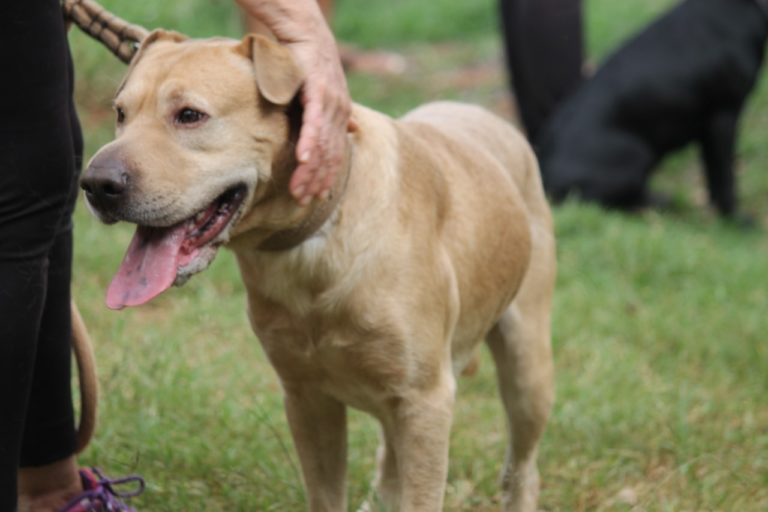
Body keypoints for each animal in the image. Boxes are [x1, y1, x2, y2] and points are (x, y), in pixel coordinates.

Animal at [81, 32, 556, 512]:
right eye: (121, 114)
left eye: (190, 115)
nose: (96, 184)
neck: (311, 242)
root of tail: (484, 114)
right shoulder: (306, 397)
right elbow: (328, 494)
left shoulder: (425, 401)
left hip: (527, 373)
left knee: (523, 469)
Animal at [540, 0, 768, 219]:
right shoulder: (723, 116)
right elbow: (725, 176)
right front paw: (734, 218)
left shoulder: (709, 130)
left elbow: (712, 173)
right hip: (638, 153)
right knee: (594, 202)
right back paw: (657, 202)